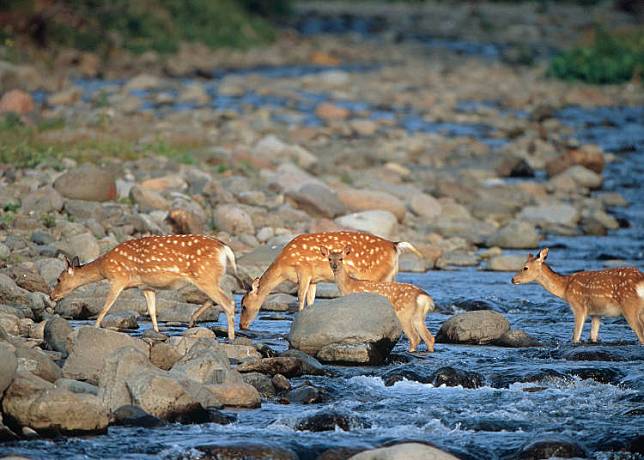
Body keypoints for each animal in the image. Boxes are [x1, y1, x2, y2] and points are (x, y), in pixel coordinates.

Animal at [48, 234, 239, 338]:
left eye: (58, 279)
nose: (52, 296)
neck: (104, 268)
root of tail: (225, 249)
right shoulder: (146, 286)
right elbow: (152, 311)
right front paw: (156, 331)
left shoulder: (118, 279)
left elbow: (106, 307)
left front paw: (94, 327)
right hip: (211, 277)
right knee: (218, 299)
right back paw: (192, 321)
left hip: (204, 275)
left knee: (228, 302)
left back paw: (230, 336)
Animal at [240, 232, 422, 328]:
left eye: (243, 306)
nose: (242, 325)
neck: (284, 266)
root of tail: (395, 245)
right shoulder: (314, 279)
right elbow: (310, 300)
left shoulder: (304, 270)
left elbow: (300, 297)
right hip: (389, 275)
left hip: (376, 276)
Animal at [512, 250, 644, 344]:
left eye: (525, 267)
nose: (513, 279)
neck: (565, 288)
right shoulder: (596, 313)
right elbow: (593, 335)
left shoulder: (579, 306)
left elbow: (575, 336)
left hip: (630, 307)